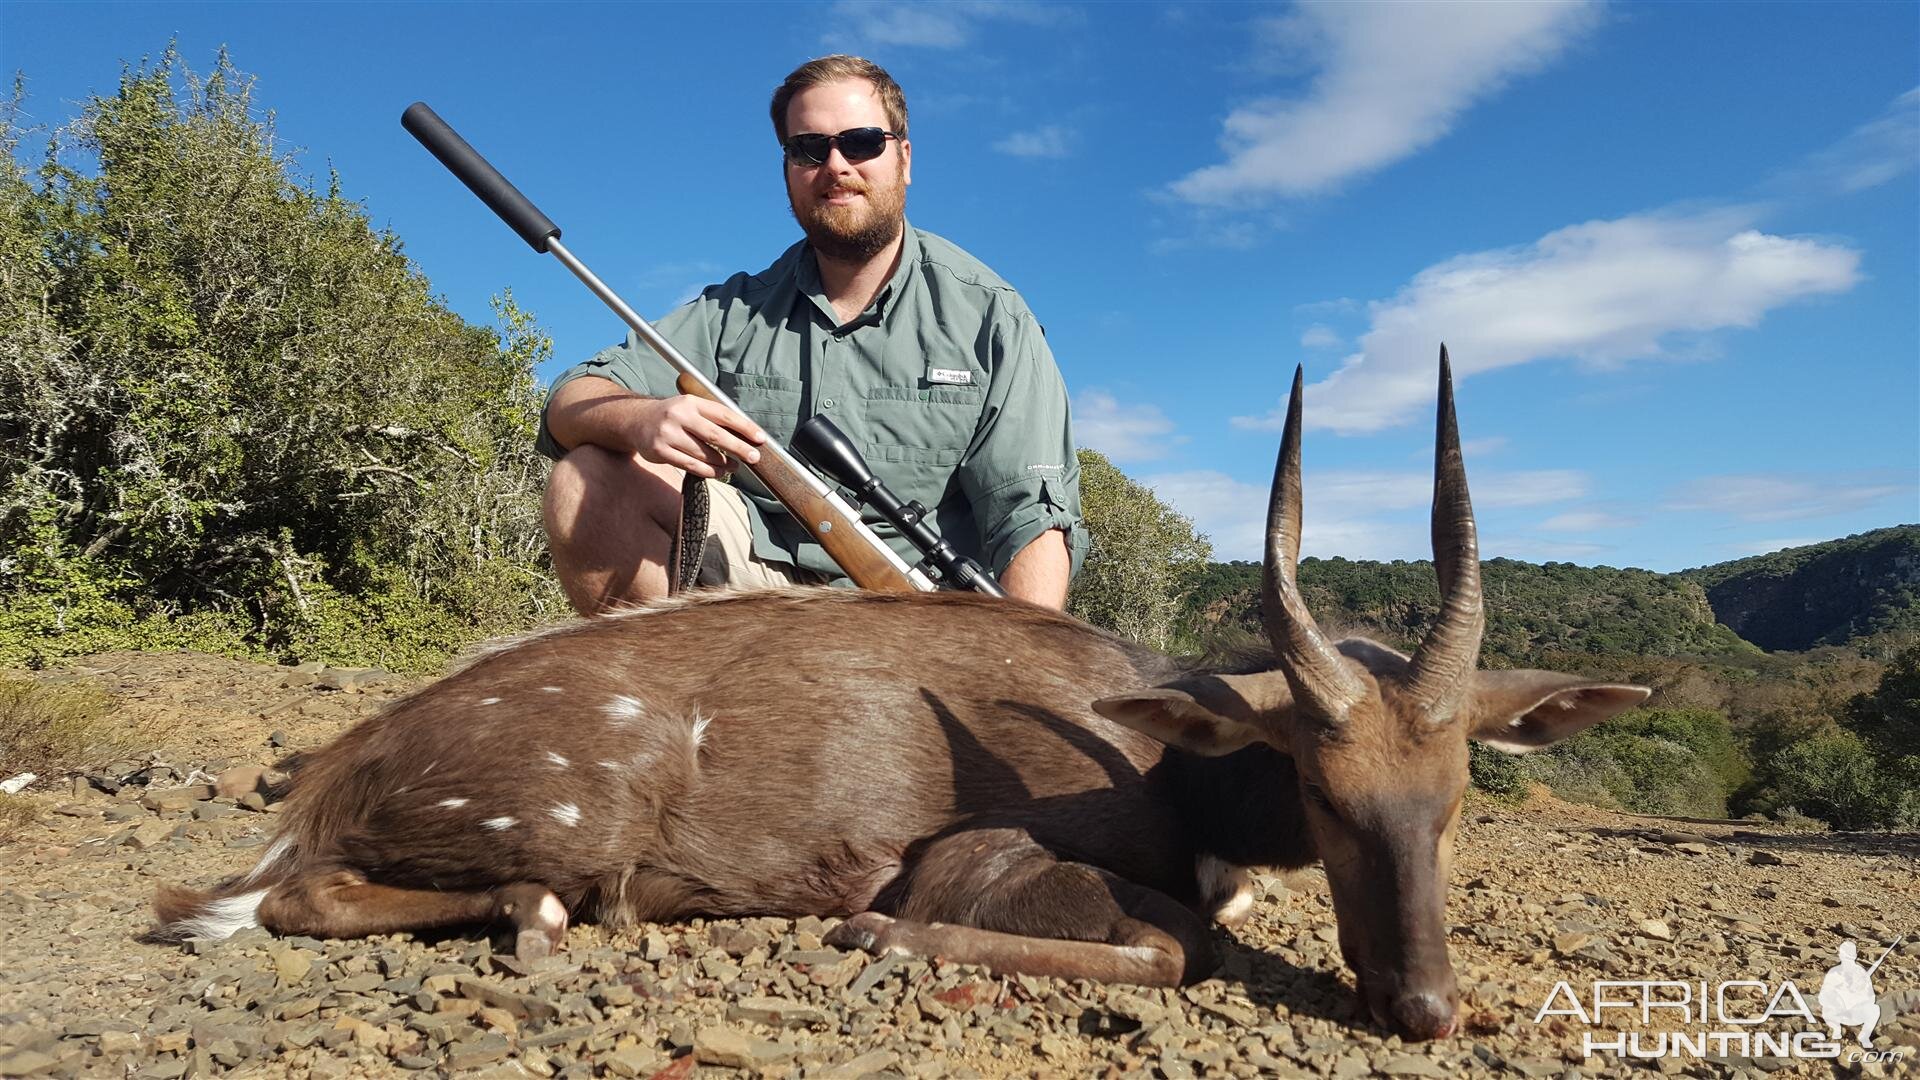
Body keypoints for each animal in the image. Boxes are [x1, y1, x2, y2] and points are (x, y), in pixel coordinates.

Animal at [157, 351, 1643, 1037]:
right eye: (1323, 794)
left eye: (1455, 801)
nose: (1423, 1006)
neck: (1163, 760)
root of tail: (332, 772)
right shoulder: (976, 855)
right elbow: (1174, 945)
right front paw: (870, 931)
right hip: (580, 820)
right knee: (294, 900)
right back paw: (535, 921)